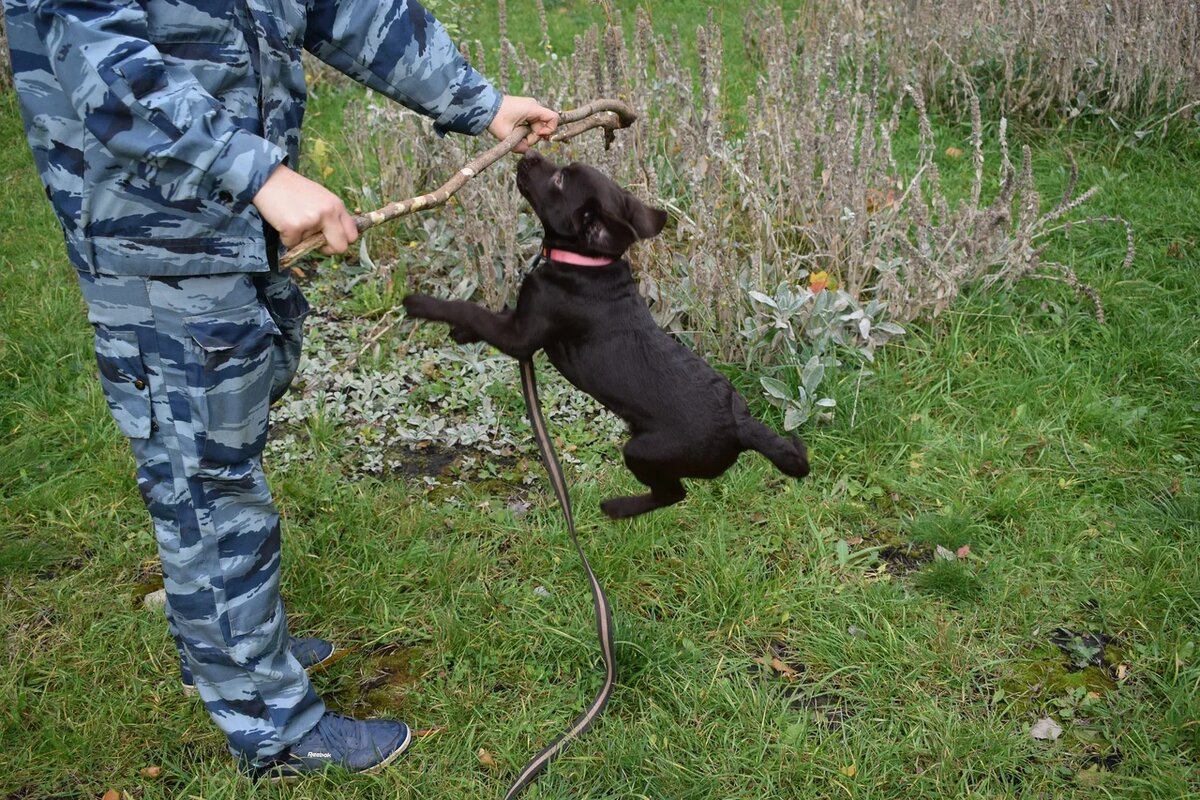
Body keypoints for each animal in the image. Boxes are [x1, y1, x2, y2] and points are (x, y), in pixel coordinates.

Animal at [403, 152, 806, 522]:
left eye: (560, 180)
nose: (529, 153)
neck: (588, 261)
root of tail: (740, 426)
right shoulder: (518, 321)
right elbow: (489, 315)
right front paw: (460, 333)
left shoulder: (522, 334)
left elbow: (473, 310)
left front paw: (422, 304)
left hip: (643, 451)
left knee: (672, 493)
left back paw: (617, 507)